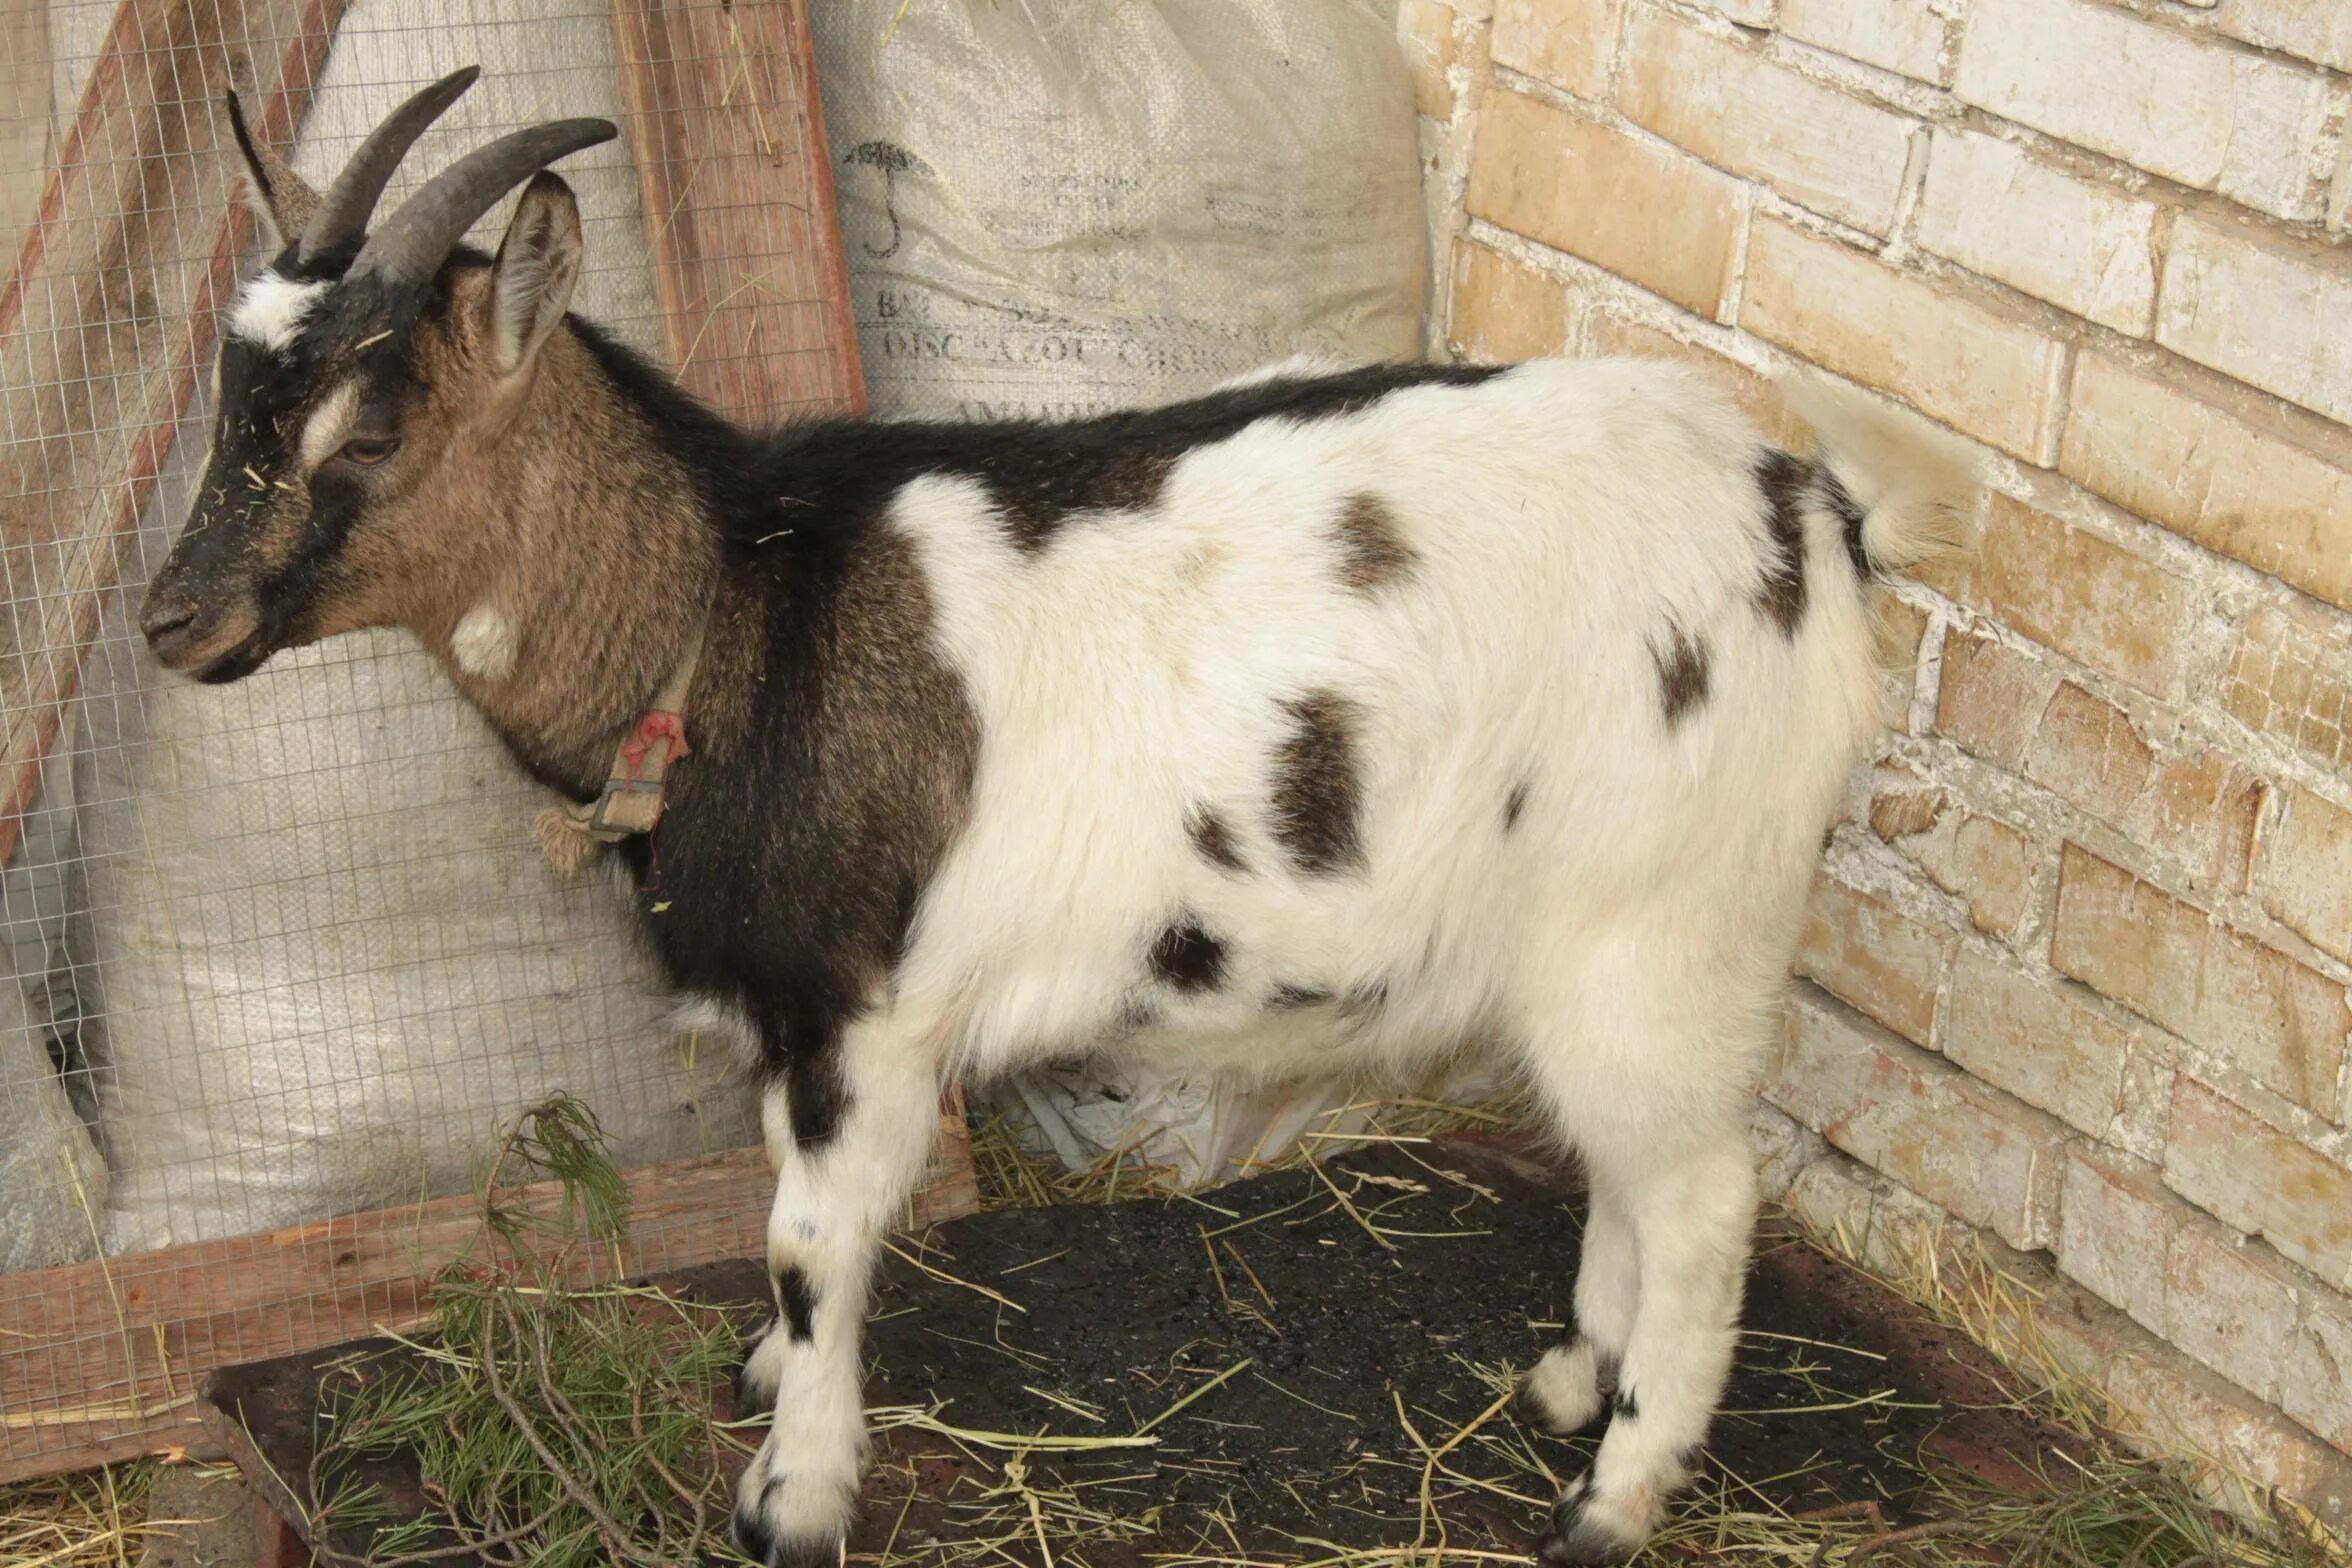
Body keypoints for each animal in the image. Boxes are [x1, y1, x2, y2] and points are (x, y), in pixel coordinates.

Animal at [142, 76, 1985, 1568]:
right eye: (232, 395)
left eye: (371, 423)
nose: (171, 622)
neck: (736, 615)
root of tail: (1813, 518)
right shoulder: (797, 1014)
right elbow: (789, 1215)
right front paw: (772, 1382)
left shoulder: (865, 1006)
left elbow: (809, 1235)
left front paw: (793, 1493)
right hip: (1604, 947)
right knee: (1632, 1172)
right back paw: (1568, 1382)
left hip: (1665, 921)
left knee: (1705, 1202)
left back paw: (1611, 1500)